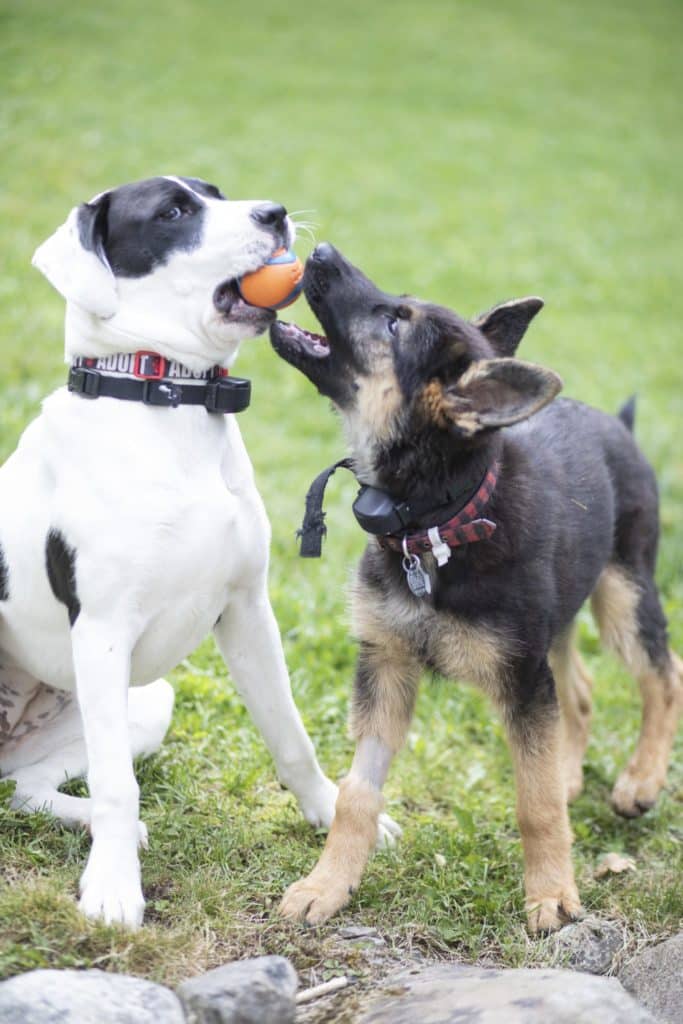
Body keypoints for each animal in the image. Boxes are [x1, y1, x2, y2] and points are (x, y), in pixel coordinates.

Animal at [0, 176, 397, 929]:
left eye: (216, 192)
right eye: (174, 212)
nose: (275, 214)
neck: (167, 405)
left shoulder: (248, 611)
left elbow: (290, 734)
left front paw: (330, 815)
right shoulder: (101, 633)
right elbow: (120, 785)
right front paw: (113, 889)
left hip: (145, 703)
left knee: (26, 789)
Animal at [270, 243, 679, 933]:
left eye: (394, 324)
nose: (319, 250)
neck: (434, 522)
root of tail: (617, 423)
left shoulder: (521, 678)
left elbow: (534, 801)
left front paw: (552, 895)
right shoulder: (387, 665)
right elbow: (356, 792)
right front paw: (328, 884)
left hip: (624, 591)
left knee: (663, 674)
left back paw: (641, 780)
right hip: (555, 621)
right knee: (581, 690)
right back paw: (573, 771)